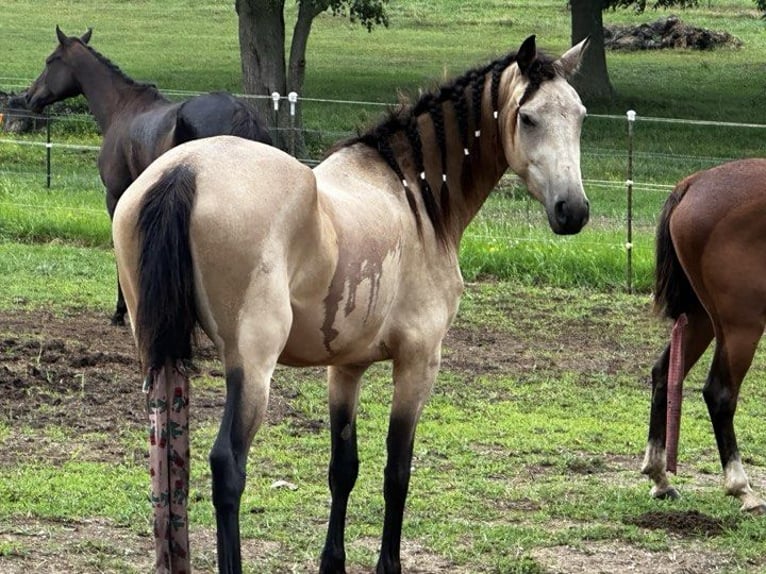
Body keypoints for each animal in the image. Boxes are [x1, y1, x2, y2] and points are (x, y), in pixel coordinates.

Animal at [25, 27, 272, 326]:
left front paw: (121, 311)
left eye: (51, 60)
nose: (29, 97)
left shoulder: (116, 196)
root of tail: (241, 112)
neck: (121, 108)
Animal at [111, 36, 592, 574]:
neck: (413, 197)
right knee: (226, 465)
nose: (573, 211)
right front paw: (388, 563)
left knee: (165, 458)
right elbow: (396, 470)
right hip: (251, 366)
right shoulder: (418, 362)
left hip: (158, 354)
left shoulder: (345, 368)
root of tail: (184, 171)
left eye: (579, 116)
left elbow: (343, 468)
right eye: (528, 118)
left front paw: (332, 561)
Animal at [640, 159, 766, 516]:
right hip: (740, 327)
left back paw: (660, 479)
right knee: (719, 393)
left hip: (700, 320)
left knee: (664, 374)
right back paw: (742, 489)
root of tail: (694, 183)